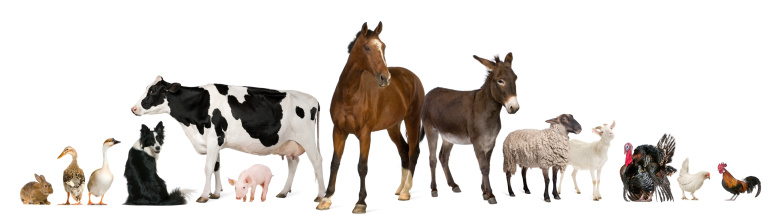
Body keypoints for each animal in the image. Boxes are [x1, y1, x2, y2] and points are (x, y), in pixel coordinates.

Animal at [132, 76, 326, 204]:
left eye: (153, 90)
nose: (133, 108)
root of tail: (313, 99)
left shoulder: (213, 139)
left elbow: (208, 168)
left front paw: (203, 195)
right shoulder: (216, 143)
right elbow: (217, 167)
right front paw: (216, 193)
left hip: (307, 139)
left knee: (317, 161)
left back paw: (321, 195)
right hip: (290, 143)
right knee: (294, 163)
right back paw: (284, 192)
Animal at [316, 21, 424, 213]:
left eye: (383, 46)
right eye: (367, 47)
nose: (385, 78)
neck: (350, 94)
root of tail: (412, 77)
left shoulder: (365, 134)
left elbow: (362, 166)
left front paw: (360, 202)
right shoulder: (338, 131)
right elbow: (335, 162)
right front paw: (326, 198)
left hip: (412, 120)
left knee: (413, 151)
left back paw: (406, 191)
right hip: (393, 127)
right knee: (404, 150)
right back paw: (400, 188)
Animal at [422, 53, 520, 204]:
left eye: (515, 78)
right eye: (500, 81)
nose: (514, 108)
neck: (487, 110)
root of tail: (431, 92)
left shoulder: (491, 142)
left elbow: (487, 165)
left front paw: (484, 192)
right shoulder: (477, 142)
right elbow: (484, 167)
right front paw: (490, 195)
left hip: (448, 136)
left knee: (443, 157)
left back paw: (453, 185)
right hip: (431, 130)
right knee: (432, 159)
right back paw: (434, 189)